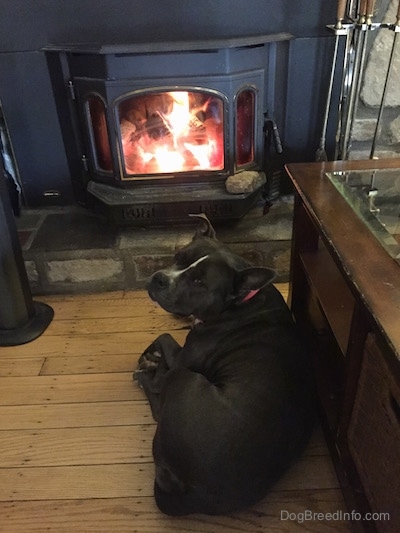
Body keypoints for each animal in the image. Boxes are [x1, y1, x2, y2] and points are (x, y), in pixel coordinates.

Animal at [134, 213, 316, 516]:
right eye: (178, 256)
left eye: (199, 282)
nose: (159, 278)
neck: (238, 303)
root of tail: (197, 495)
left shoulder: (185, 357)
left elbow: (165, 337)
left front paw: (152, 357)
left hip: (186, 377)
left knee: (160, 401)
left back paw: (149, 374)